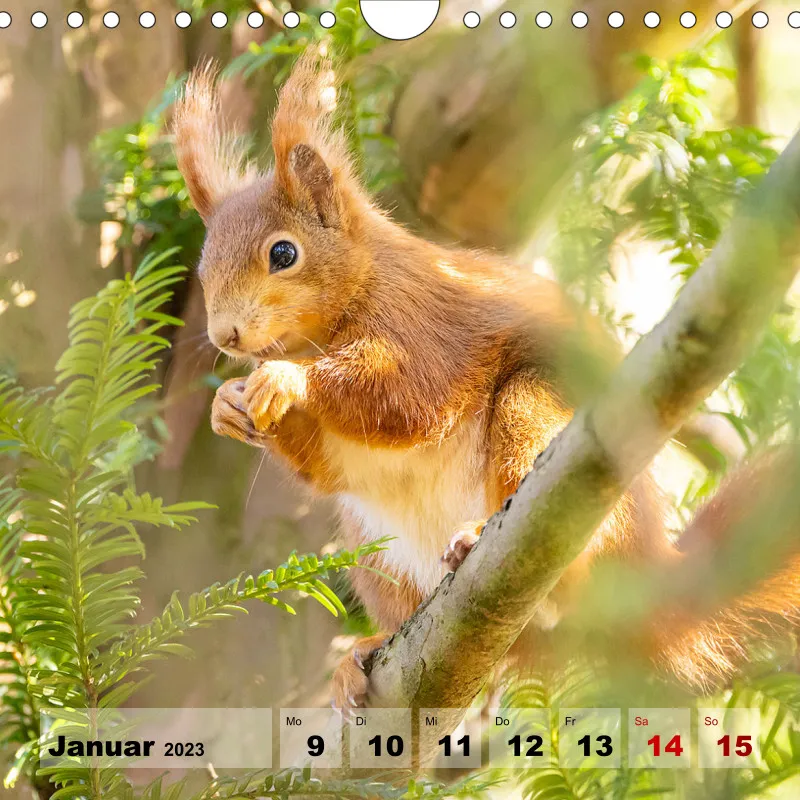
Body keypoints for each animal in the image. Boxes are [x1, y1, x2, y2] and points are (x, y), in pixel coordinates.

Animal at [174, 53, 800, 712]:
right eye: (204, 264)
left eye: (284, 254)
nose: (224, 335)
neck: (355, 291)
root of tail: (643, 580)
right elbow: (325, 466)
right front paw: (225, 407)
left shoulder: (422, 324)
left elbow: (408, 400)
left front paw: (285, 380)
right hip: (373, 547)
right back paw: (367, 650)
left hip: (543, 427)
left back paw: (486, 544)